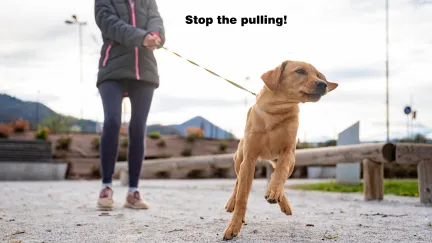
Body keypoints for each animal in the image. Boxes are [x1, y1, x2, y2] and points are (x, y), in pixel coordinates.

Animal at [223, 60, 338, 239]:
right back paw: (232, 203)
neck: (276, 111)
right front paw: (233, 226)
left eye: (318, 75)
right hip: (239, 160)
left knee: (278, 175)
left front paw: (274, 191)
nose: (323, 84)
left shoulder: (288, 153)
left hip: (288, 162)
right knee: (237, 182)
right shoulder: (249, 159)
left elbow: (280, 173)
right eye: (300, 71)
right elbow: (242, 196)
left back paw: (278, 197)